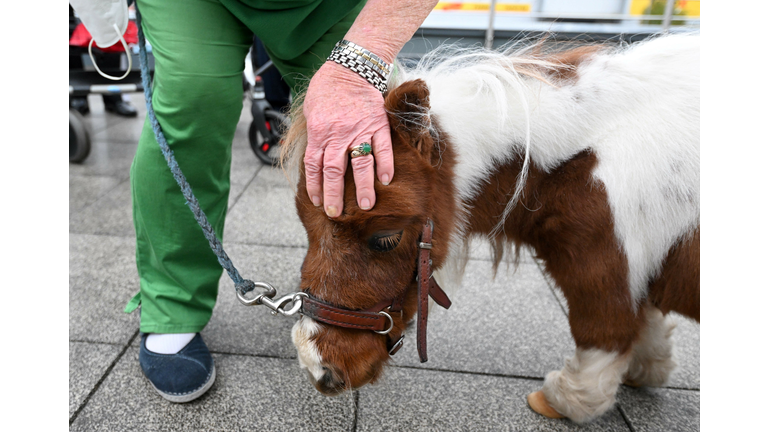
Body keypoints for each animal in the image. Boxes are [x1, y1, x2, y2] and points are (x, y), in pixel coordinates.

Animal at [282, 33, 700, 424]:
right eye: (304, 225)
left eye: (386, 238)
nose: (319, 369)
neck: (587, 160)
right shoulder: (637, 275)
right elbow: (646, 320)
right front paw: (649, 368)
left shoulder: (602, 270)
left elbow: (605, 331)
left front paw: (567, 400)